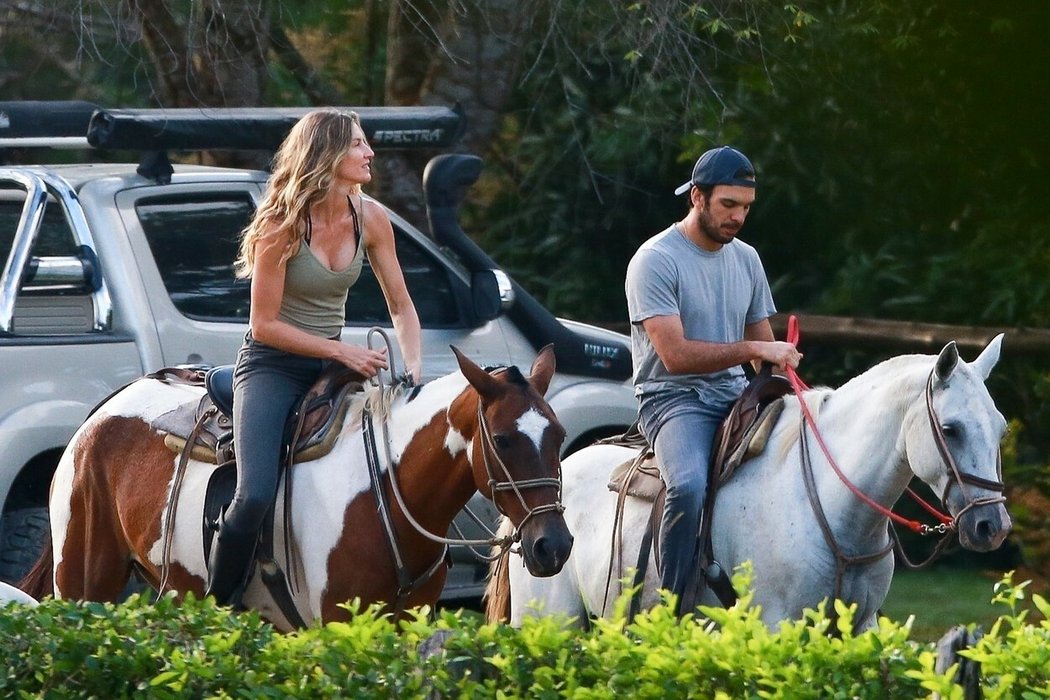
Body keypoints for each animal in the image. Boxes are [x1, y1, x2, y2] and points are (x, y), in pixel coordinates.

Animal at [20, 348, 571, 625]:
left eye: (560, 436)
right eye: (502, 438)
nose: (554, 546)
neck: (387, 495)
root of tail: (98, 416)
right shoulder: (337, 623)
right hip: (82, 585)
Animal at [487, 335, 1012, 633]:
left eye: (1001, 427)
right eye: (952, 429)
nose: (993, 526)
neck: (831, 504)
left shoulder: (858, 627)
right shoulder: (777, 626)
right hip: (550, 621)